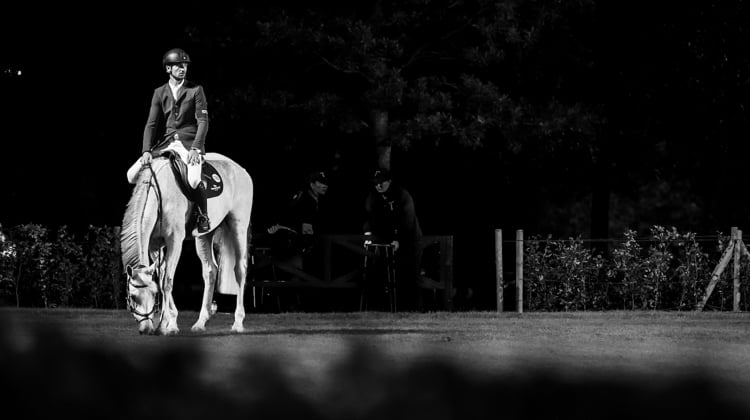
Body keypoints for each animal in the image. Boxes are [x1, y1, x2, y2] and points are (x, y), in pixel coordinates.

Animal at [120, 152, 254, 334]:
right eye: (133, 297)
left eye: (153, 295)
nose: (146, 329)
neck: (159, 193)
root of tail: (240, 169)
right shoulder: (154, 245)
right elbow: (162, 277)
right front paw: (171, 322)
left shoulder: (175, 239)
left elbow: (166, 282)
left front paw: (164, 325)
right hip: (204, 236)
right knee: (210, 271)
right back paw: (201, 322)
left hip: (238, 226)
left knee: (240, 269)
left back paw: (238, 323)